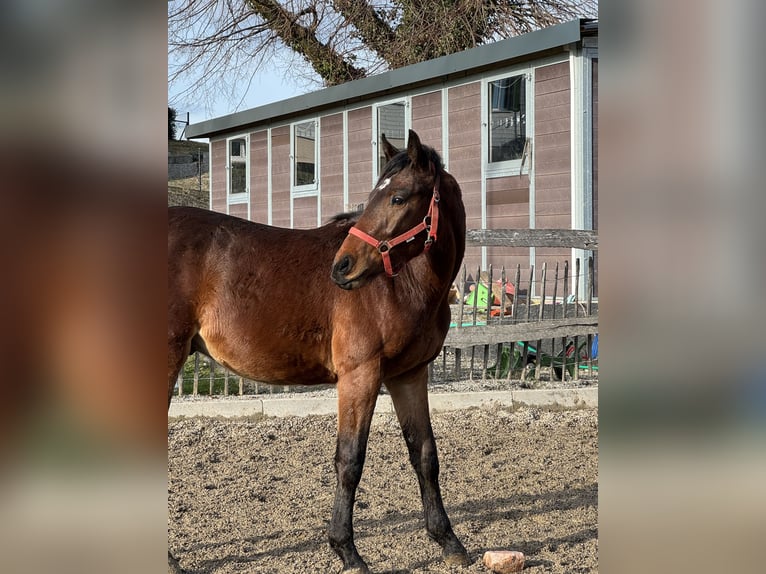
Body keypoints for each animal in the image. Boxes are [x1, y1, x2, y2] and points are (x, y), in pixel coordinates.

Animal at [167, 130, 469, 573]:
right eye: (376, 195)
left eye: (398, 197)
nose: (342, 267)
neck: (404, 285)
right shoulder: (360, 375)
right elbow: (350, 460)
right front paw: (347, 550)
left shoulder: (409, 375)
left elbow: (425, 454)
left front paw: (448, 539)